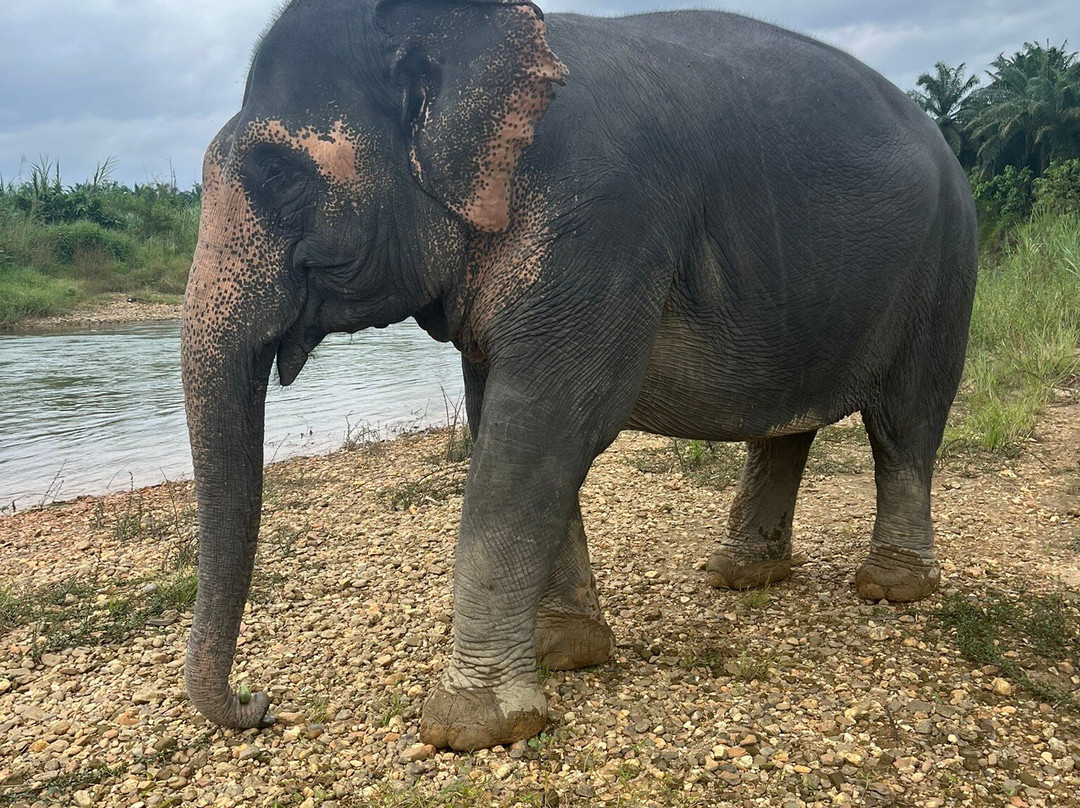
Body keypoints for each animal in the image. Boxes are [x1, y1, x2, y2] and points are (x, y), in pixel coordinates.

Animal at [181, 0, 978, 751]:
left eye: (277, 174)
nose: (260, 703)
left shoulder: (600, 223)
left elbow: (544, 427)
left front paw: (471, 728)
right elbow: (504, 424)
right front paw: (564, 653)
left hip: (945, 269)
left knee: (905, 422)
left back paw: (892, 588)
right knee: (788, 427)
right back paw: (741, 574)